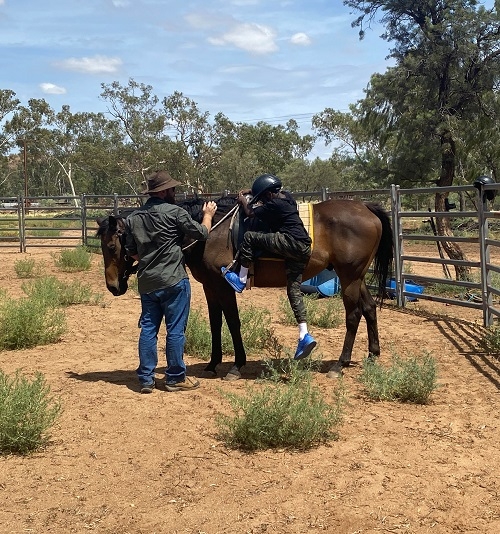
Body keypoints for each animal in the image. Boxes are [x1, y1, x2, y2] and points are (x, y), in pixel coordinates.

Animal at [96, 198, 394, 382]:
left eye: (111, 246)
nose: (113, 286)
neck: (210, 233)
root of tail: (366, 208)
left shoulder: (223, 287)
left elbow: (233, 322)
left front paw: (236, 365)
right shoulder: (211, 287)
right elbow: (216, 323)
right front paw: (213, 363)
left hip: (350, 277)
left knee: (353, 315)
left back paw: (340, 364)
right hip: (357, 278)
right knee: (369, 309)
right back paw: (372, 355)